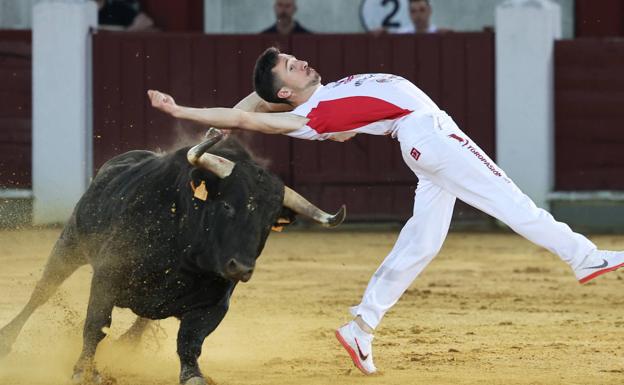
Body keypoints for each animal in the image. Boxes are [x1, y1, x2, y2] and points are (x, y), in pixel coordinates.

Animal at [0, 130, 344, 384]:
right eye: (227, 205)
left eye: (269, 222)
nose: (242, 268)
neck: (185, 258)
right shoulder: (107, 276)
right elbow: (96, 326)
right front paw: (84, 370)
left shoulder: (215, 305)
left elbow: (190, 342)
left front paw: (193, 376)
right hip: (70, 242)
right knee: (43, 291)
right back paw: (7, 339)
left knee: (144, 320)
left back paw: (127, 346)